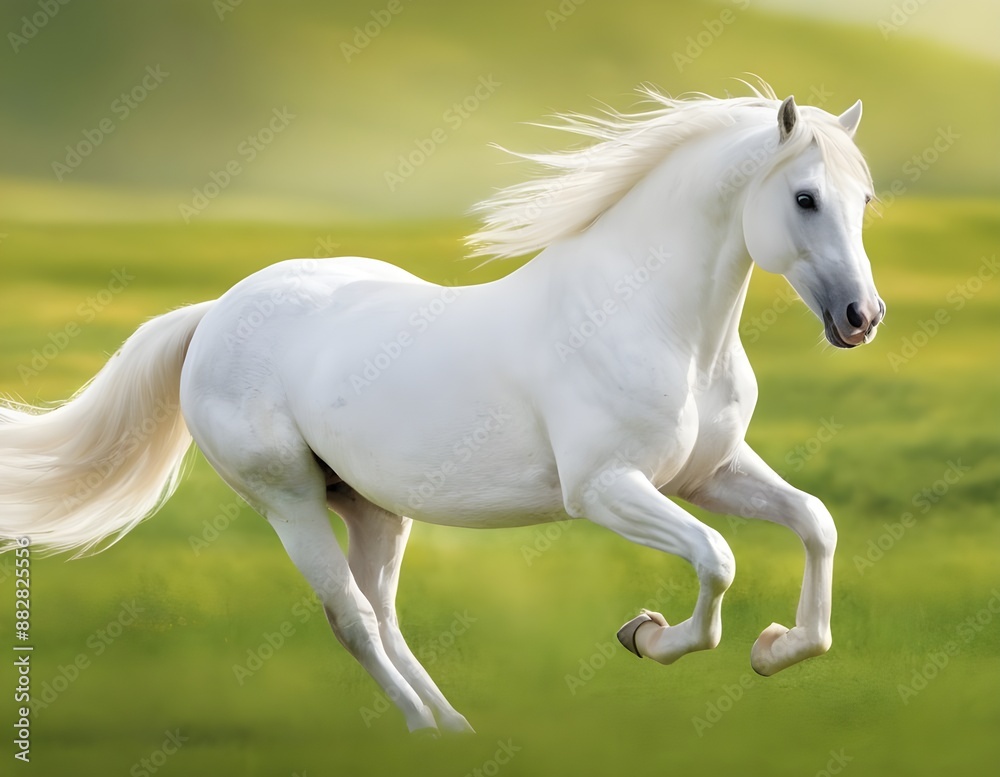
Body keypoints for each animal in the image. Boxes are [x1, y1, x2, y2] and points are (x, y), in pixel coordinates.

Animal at [0, 85, 884, 735]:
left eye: (866, 199)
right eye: (806, 197)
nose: (861, 317)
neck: (652, 320)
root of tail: (214, 312)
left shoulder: (709, 473)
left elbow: (814, 522)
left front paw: (776, 649)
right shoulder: (606, 488)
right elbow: (716, 560)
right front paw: (646, 634)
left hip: (371, 506)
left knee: (384, 613)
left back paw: (455, 729)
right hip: (288, 501)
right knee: (353, 617)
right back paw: (426, 732)